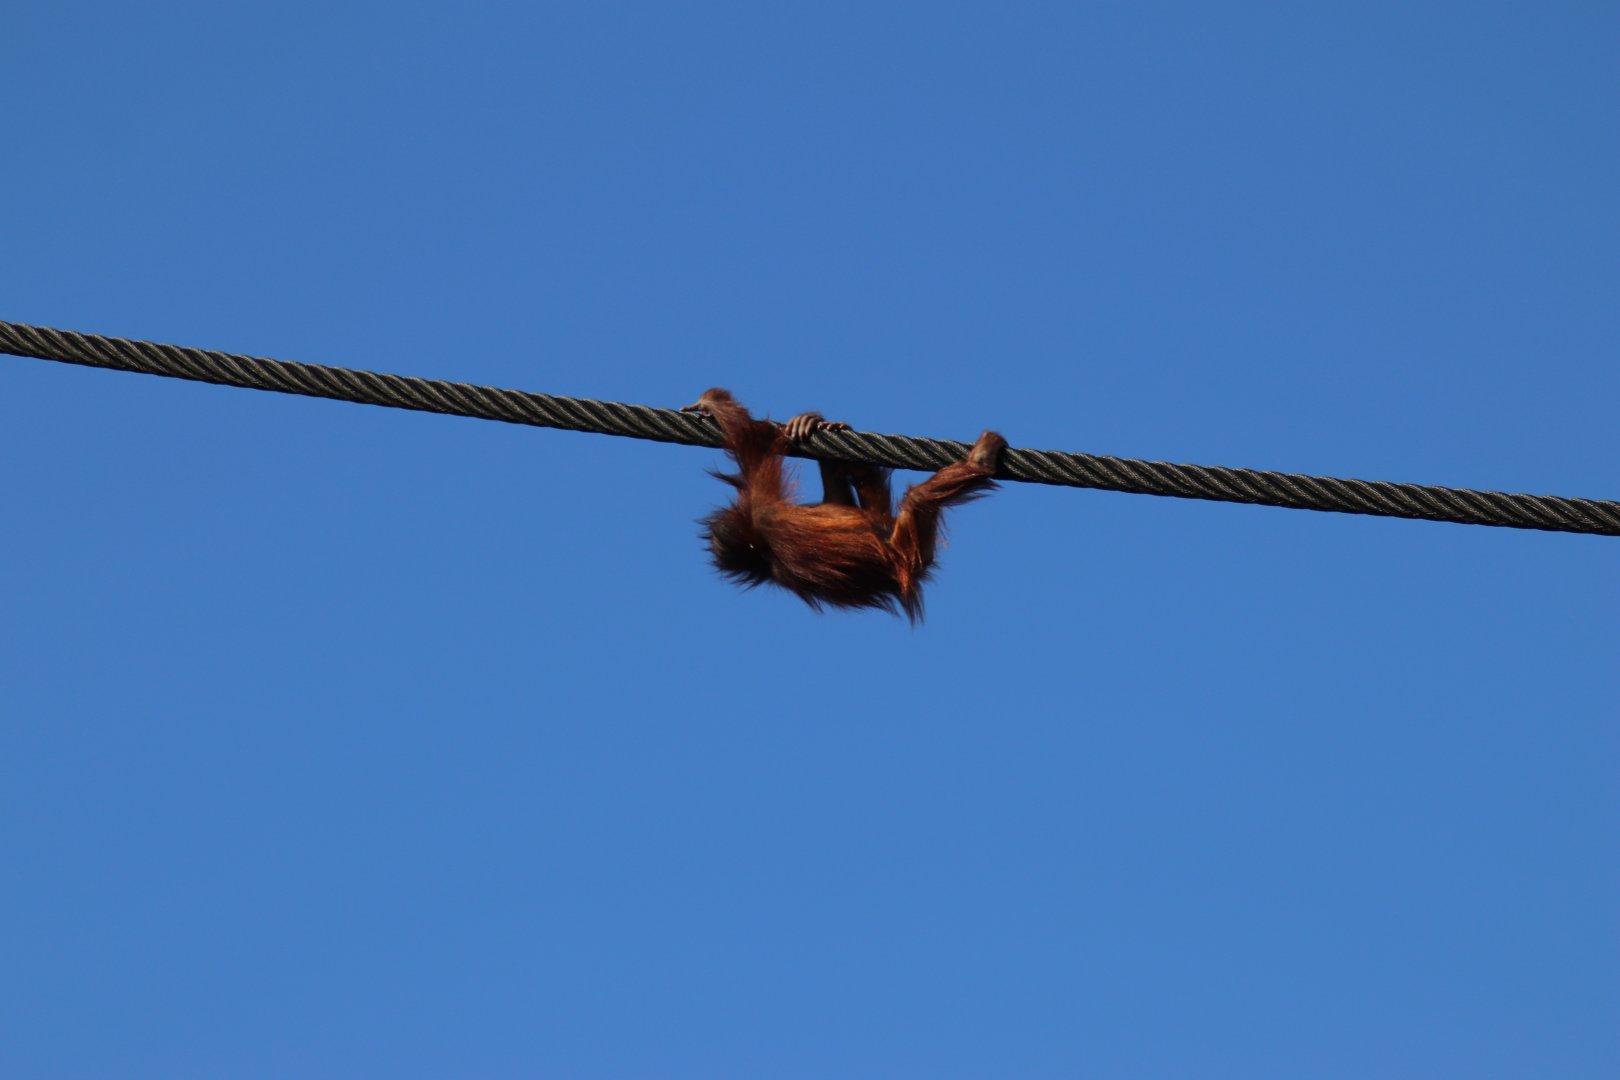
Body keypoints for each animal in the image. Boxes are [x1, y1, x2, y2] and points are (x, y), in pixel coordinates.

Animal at [682, 388, 1006, 622]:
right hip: (909, 548)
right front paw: (710, 402)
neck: (763, 554)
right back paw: (980, 461)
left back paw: (825, 426)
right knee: (917, 501)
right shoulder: (764, 513)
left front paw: (706, 404)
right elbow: (751, 444)